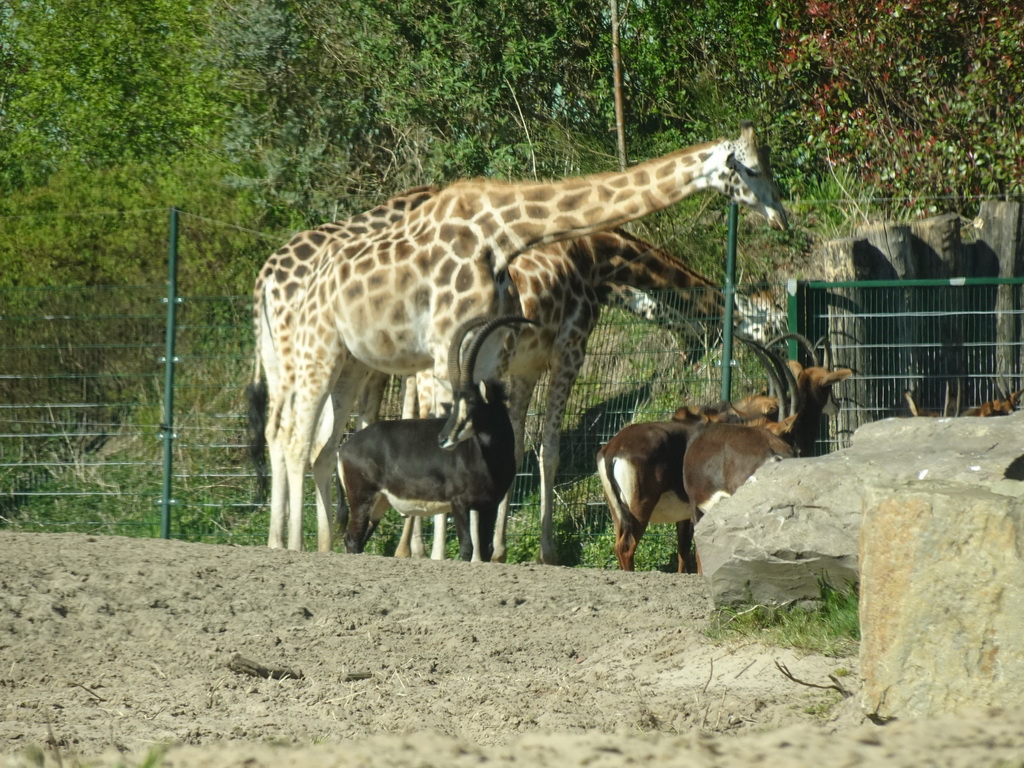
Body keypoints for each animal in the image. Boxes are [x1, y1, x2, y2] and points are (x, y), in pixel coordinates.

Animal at [250, 185, 440, 548]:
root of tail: (266, 279)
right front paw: (408, 546)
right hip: (304, 357)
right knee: (296, 434)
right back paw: (301, 539)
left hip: (275, 360)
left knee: (276, 431)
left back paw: (279, 539)